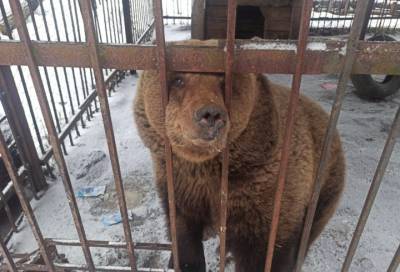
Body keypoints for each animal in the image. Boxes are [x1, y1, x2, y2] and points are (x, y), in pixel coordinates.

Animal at [133, 58, 346, 270]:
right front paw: (182, 261)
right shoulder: (180, 184)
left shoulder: (264, 197)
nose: (210, 114)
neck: (207, 167)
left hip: (324, 188)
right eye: (178, 79)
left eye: (223, 80)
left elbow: (267, 254)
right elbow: (183, 232)